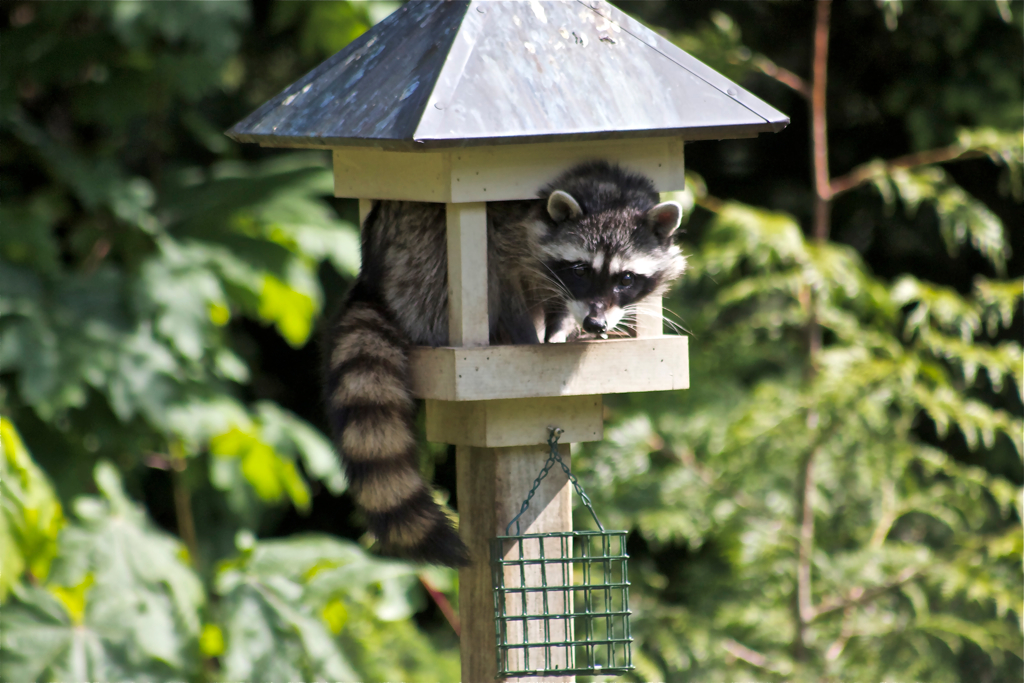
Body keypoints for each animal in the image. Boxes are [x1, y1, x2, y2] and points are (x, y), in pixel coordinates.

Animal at [323, 161, 685, 567]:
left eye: (625, 278)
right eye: (580, 270)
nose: (594, 323)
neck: (606, 186)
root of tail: (373, 279)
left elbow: (559, 302)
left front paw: (563, 328)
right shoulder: (510, 233)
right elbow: (503, 278)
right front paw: (531, 336)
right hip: (413, 271)